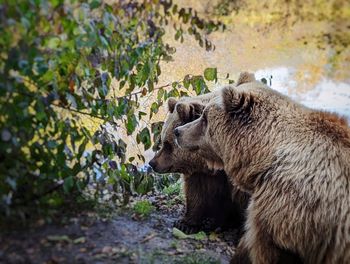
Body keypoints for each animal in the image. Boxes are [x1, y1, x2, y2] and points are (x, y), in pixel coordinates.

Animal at [148, 73, 254, 234]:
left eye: (167, 144)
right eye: (162, 140)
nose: (152, 163)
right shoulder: (200, 173)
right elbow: (196, 194)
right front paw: (186, 223)